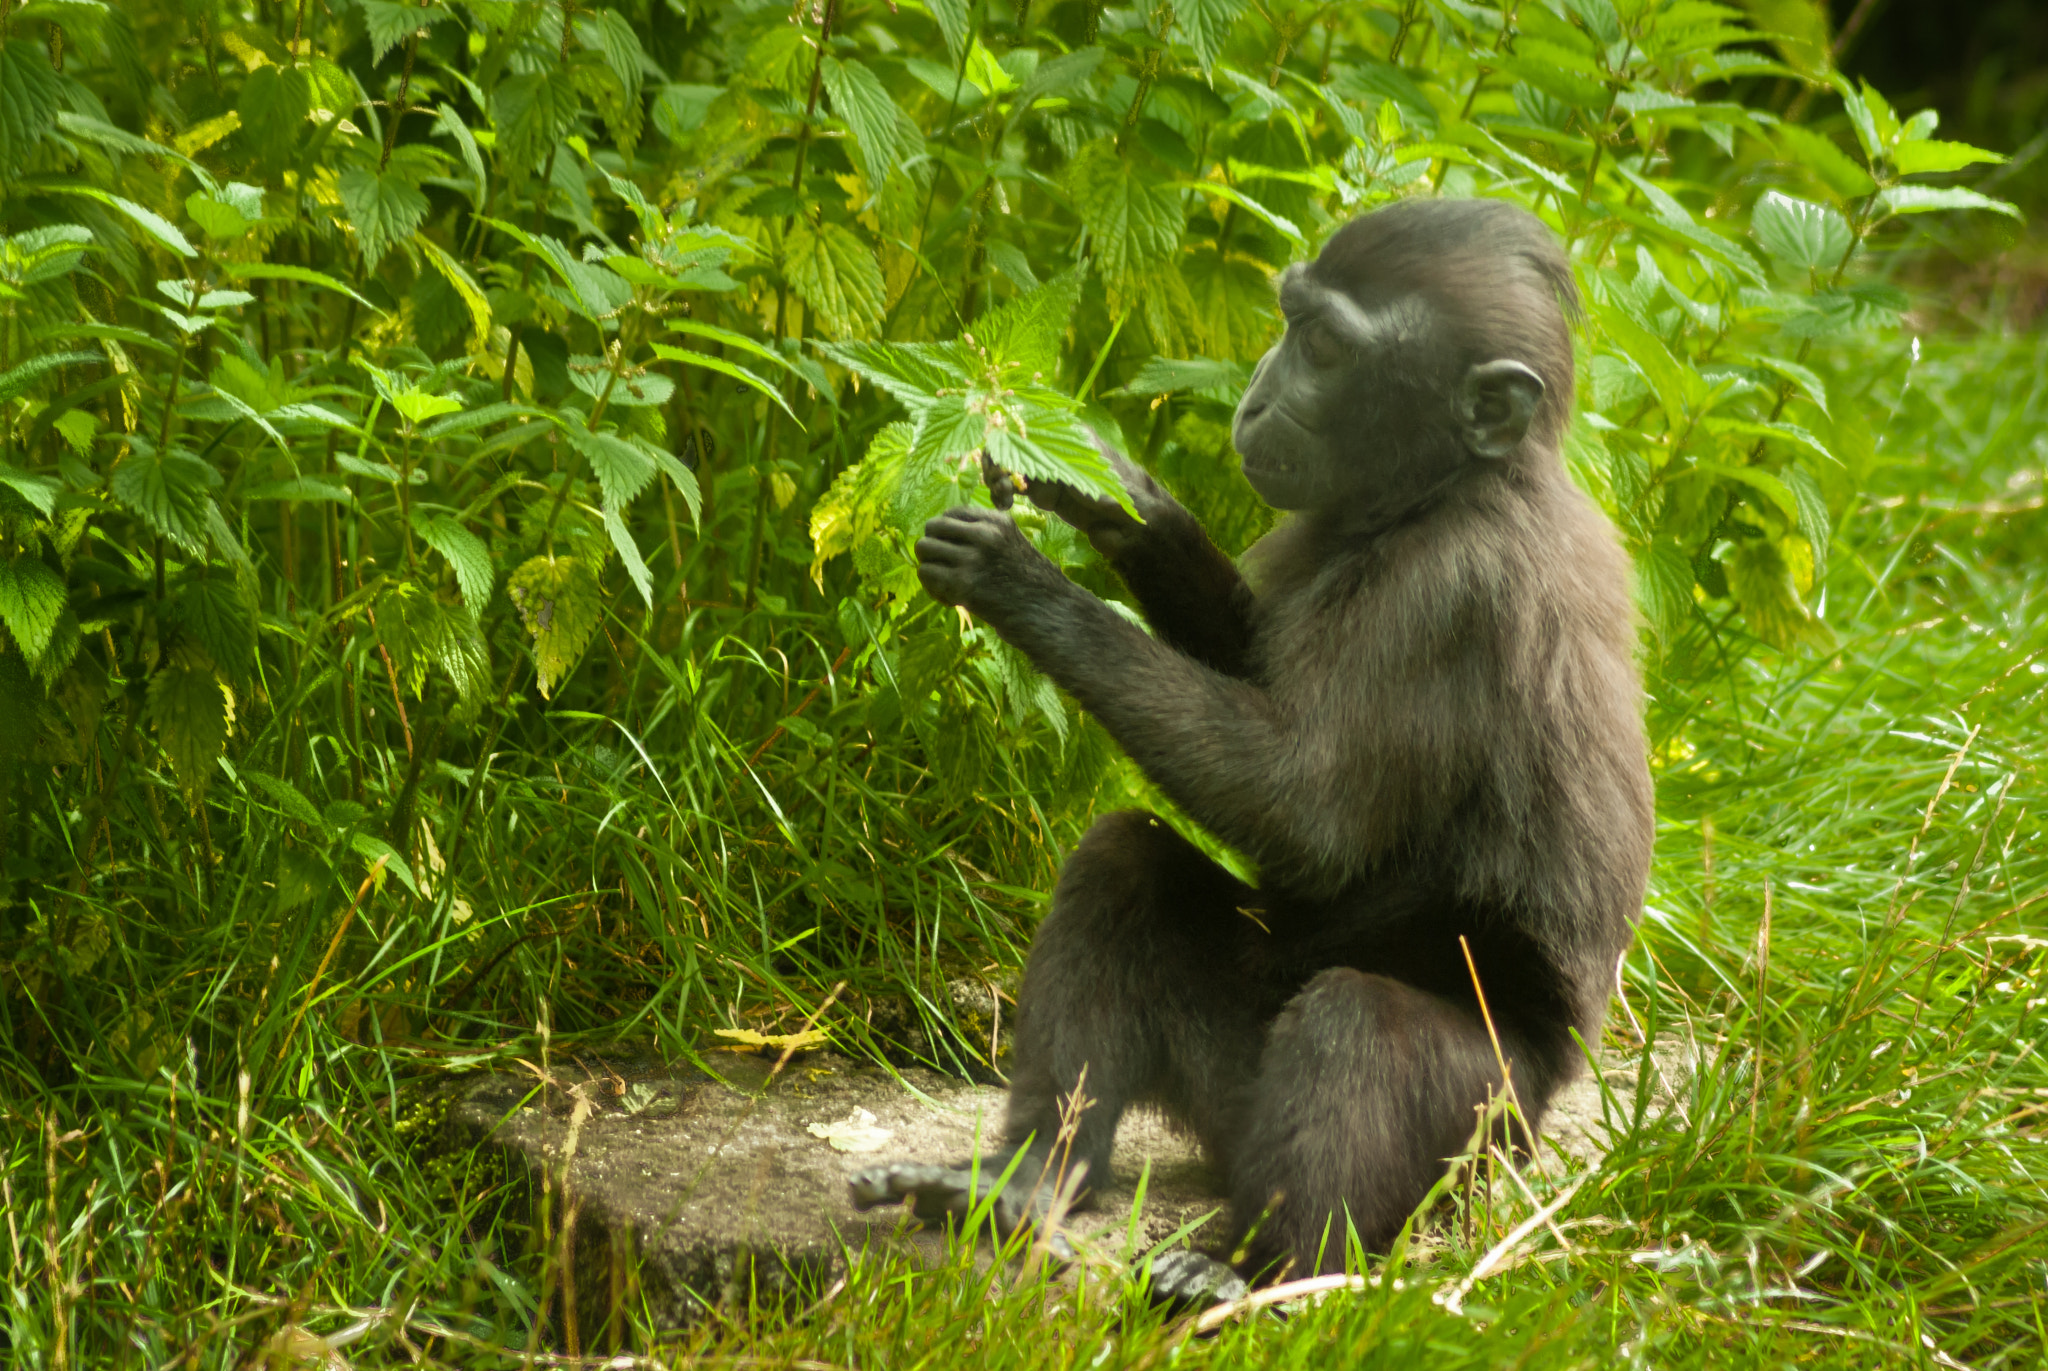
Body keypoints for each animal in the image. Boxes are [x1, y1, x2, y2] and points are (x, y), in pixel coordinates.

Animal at [849, 198, 1652, 1300]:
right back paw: (1028, 1178)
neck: (1442, 491)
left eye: (1322, 347)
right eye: (1288, 323)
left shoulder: (1447, 593)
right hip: (1229, 1078)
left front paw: (1024, 587)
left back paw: (1260, 1268)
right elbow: (1252, 676)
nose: (1261, 394)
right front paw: (1115, 493)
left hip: (1486, 1135)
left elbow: (1306, 810)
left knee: (1353, 1022)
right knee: (1124, 866)